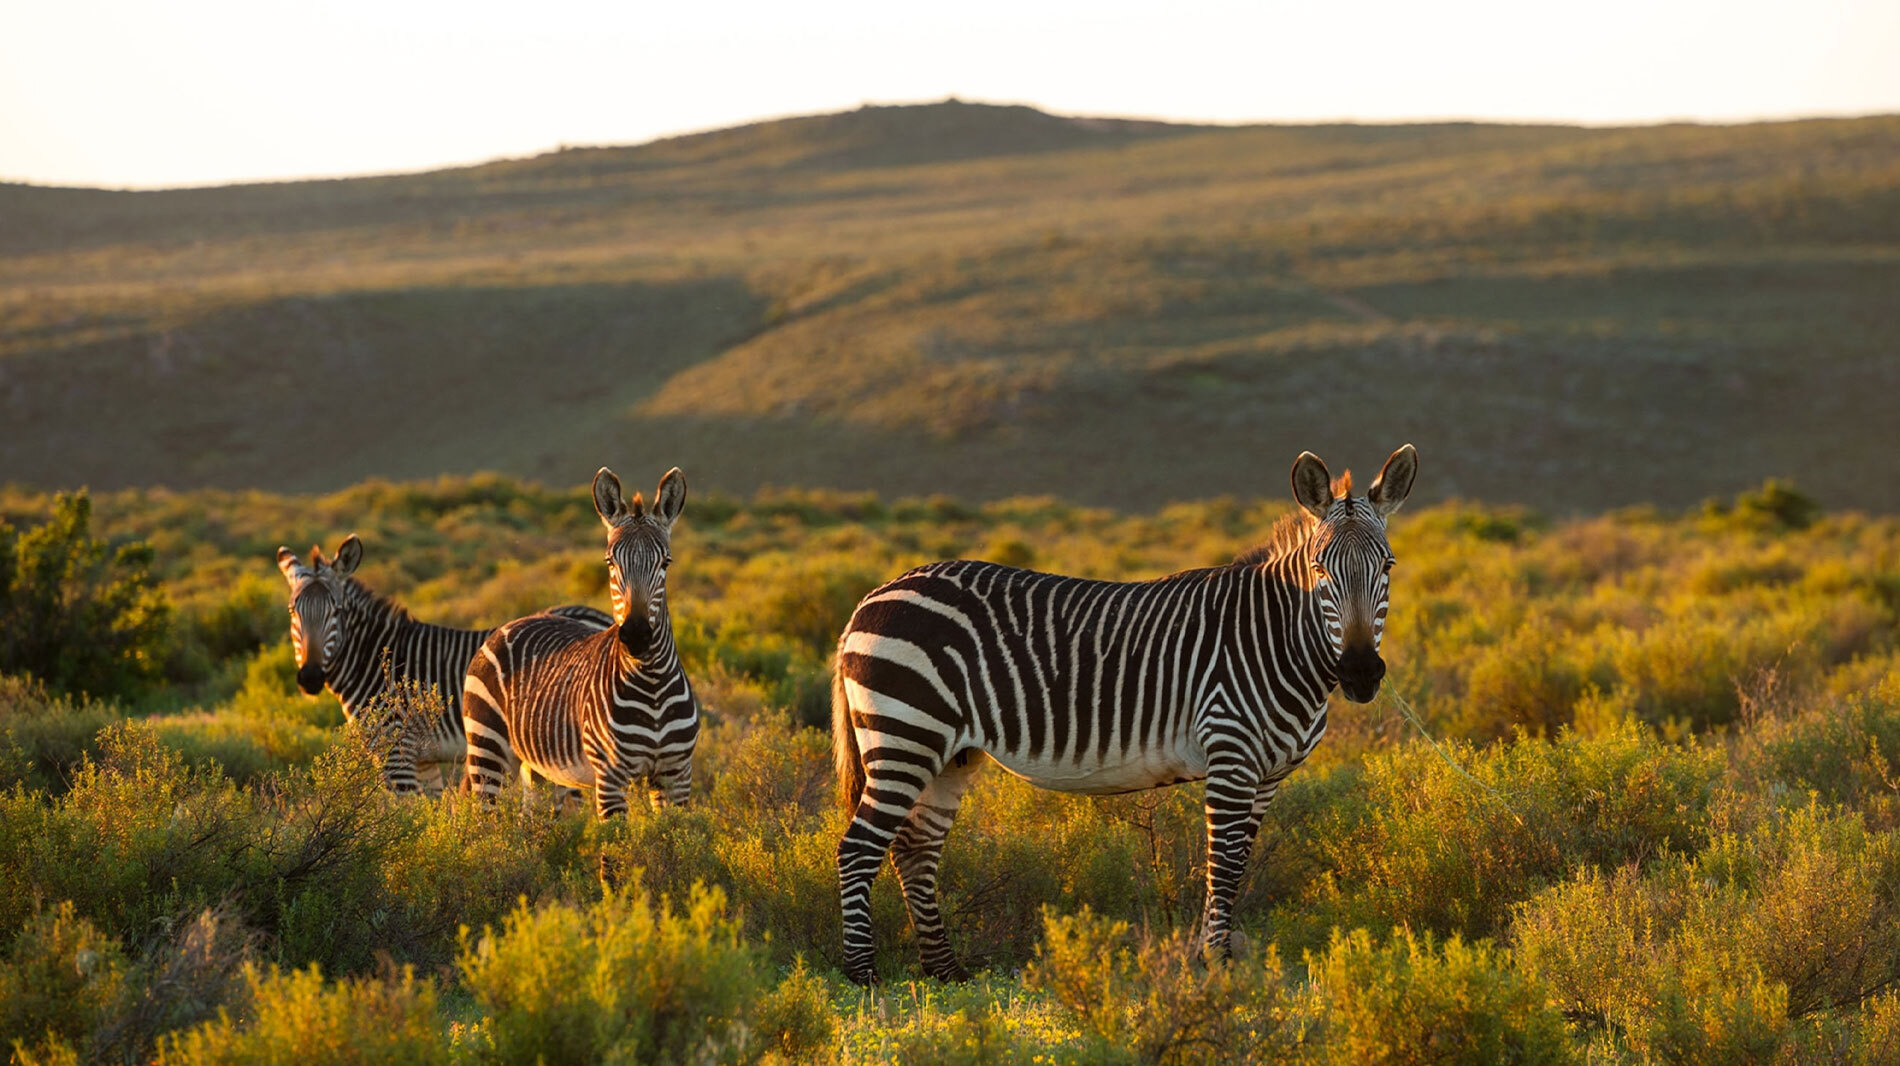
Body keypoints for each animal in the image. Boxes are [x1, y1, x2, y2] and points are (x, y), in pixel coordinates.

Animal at [275, 532, 608, 790]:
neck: (374, 660)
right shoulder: (425, 759)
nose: (310, 677)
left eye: (338, 611)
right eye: (292, 611)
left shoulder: (398, 751)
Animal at [463, 465, 703, 813]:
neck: (652, 683)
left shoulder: (677, 776)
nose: (637, 635)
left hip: (537, 767)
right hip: (487, 748)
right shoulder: (611, 777)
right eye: (610, 562)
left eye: (665, 563)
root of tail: (514, 621)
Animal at [828, 440, 1413, 980]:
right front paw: (1216, 965)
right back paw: (863, 976)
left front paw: (1214, 958)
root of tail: (869, 598)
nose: (1361, 672)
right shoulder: (1230, 753)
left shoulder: (1268, 774)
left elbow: (1238, 863)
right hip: (906, 734)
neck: (1276, 640)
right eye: (1319, 569)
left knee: (916, 851)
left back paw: (945, 972)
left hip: (950, 754)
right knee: (858, 849)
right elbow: (1222, 865)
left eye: (1387, 566)